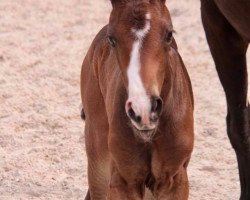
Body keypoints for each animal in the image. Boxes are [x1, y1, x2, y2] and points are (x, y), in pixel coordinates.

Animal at [81, 0, 194, 199]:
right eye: (112, 39)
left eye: (169, 34)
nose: (144, 110)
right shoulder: (124, 181)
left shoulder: (174, 180)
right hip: (98, 163)